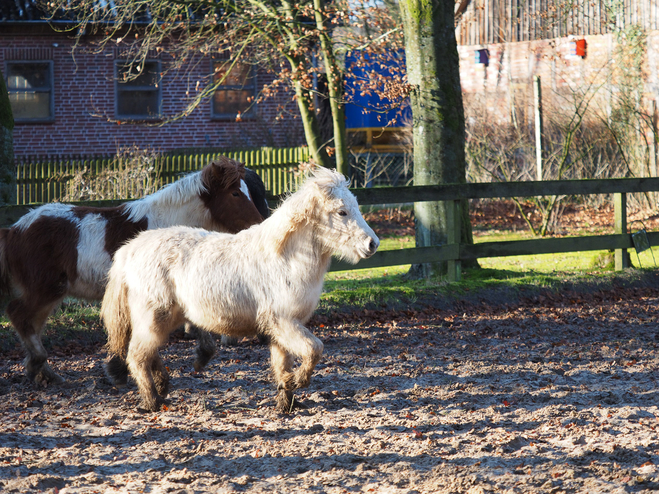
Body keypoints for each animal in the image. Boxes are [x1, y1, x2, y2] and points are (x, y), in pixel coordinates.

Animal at [0, 156, 262, 384]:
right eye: (235, 193)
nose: (258, 224)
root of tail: (15, 230)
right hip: (46, 289)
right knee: (19, 315)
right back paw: (39, 366)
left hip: (50, 293)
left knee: (31, 323)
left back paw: (43, 373)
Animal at [104, 167, 382, 412]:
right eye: (342, 211)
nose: (373, 244)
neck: (285, 258)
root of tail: (130, 250)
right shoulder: (282, 321)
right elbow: (315, 349)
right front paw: (296, 382)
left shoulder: (281, 328)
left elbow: (283, 364)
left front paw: (287, 402)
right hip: (154, 317)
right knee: (137, 356)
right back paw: (152, 401)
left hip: (166, 318)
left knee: (149, 353)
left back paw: (164, 386)